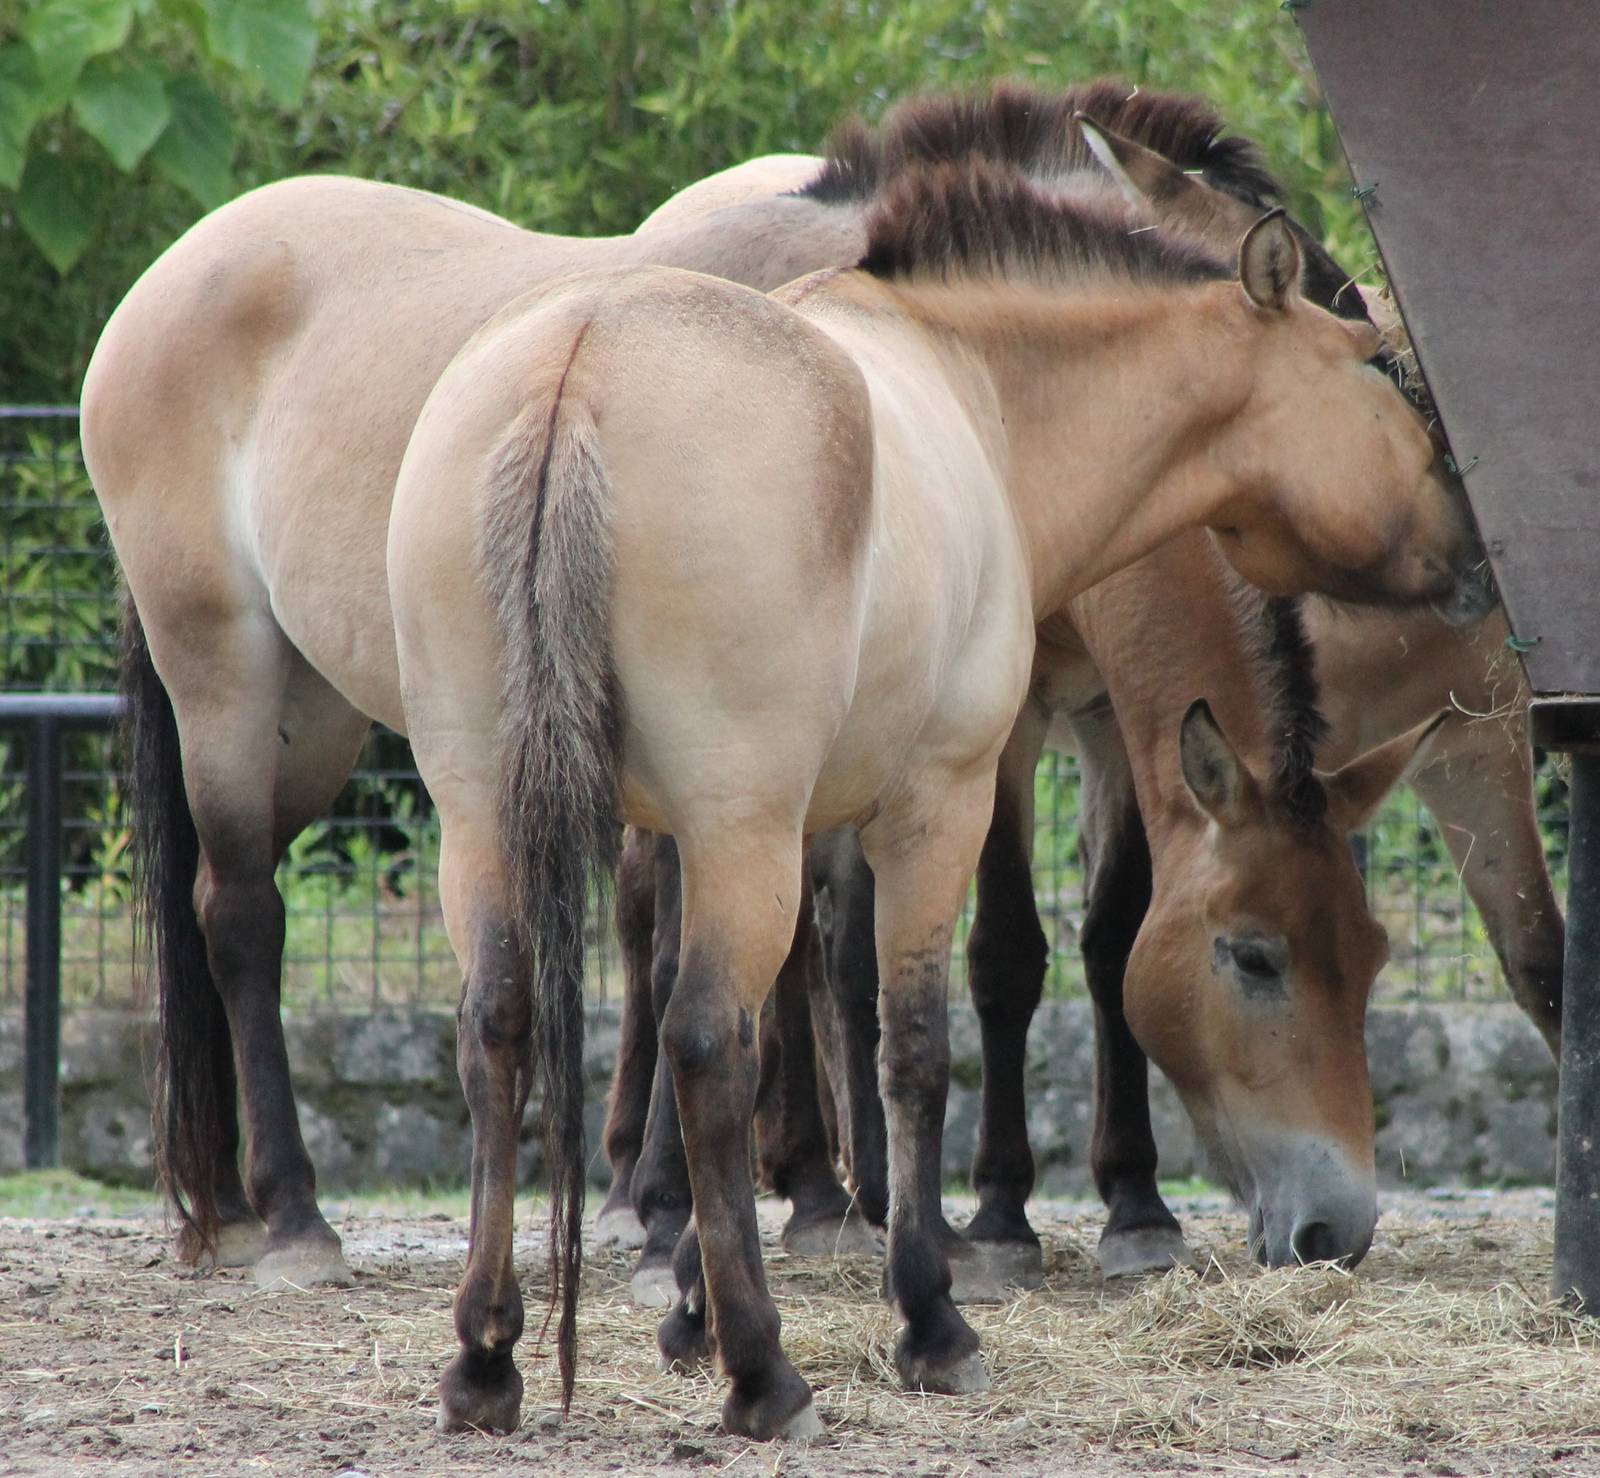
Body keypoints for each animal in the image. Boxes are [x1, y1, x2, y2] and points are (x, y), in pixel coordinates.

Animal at [85, 78, 1373, 1294]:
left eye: (1365, 955)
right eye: (1256, 957)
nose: (1333, 1228)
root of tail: (175, 271)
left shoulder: (1074, 719)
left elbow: (1081, 940)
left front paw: (1107, 1204)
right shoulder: (935, 737)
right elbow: (936, 951)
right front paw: (810, 1214)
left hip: (316, 722)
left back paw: (233, 1204)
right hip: (228, 675)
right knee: (241, 912)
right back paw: (295, 1213)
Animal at [385, 155, 1487, 1437]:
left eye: (1368, 959)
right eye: (1252, 957)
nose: (1469, 550)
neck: (980, 394)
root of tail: (576, 369)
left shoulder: (799, 822)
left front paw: (693, 1305)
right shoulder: (939, 799)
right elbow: (912, 1044)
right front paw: (926, 1315)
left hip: (488, 819)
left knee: (501, 1025)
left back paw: (486, 1358)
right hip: (731, 826)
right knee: (704, 1039)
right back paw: (766, 1372)